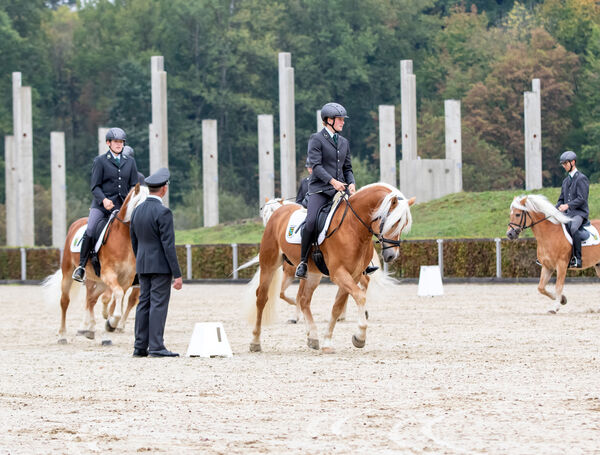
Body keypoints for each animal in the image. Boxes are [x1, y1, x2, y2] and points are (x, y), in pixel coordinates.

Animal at [43, 183, 149, 344]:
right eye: (140, 204)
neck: (123, 238)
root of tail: (76, 223)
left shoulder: (127, 279)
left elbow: (117, 297)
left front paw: (111, 322)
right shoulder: (109, 273)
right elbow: (116, 295)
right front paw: (110, 320)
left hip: (98, 280)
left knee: (92, 299)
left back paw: (90, 329)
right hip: (69, 272)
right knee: (65, 301)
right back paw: (63, 334)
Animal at [247, 183, 412, 354]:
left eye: (403, 224)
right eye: (393, 222)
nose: (391, 255)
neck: (353, 227)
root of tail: (279, 213)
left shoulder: (352, 275)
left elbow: (337, 307)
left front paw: (327, 342)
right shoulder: (339, 273)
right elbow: (359, 296)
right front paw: (360, 337)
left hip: (313, 274)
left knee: (305, 300)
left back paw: (313, 337)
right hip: (269, 264)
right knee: (262, 298)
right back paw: (255, 342)